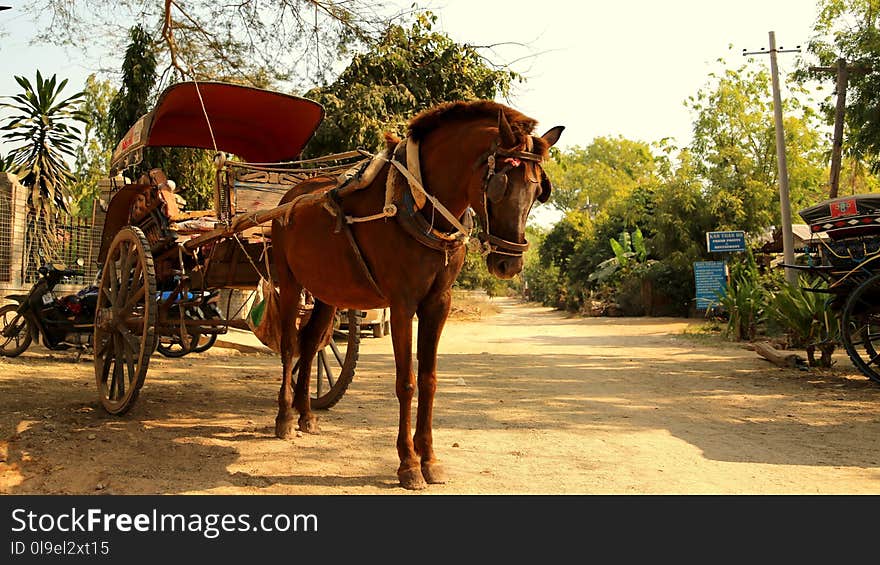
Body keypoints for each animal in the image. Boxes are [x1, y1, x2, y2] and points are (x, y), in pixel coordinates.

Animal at [272, 99, 564, 486]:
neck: (418, 203)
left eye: (537, 192)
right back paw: (285, 418)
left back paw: (306, 415)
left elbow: (428, 379)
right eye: (500, 186)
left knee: (310, 343)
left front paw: (429, 459)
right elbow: (406, 382)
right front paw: (408, 464)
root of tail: (291, 195)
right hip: (290, 282)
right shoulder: (401, 303)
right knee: (290, 344)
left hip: (327, 292)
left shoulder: (438, 303)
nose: (509, 264)